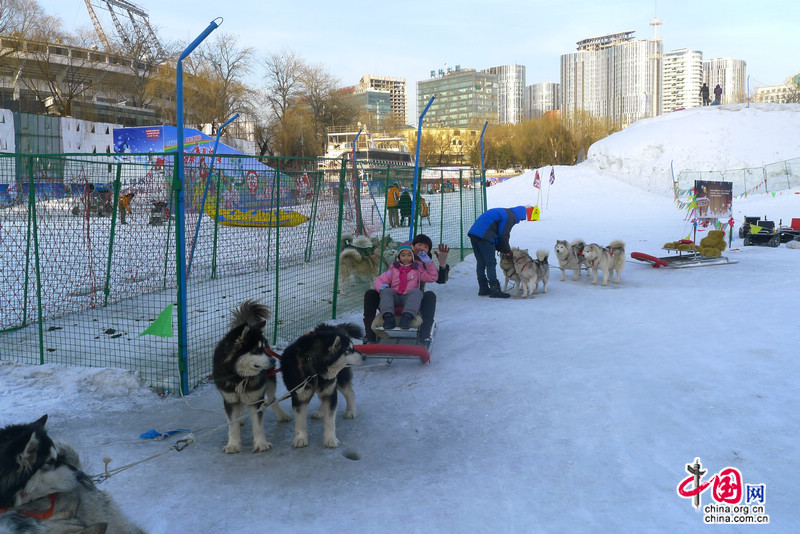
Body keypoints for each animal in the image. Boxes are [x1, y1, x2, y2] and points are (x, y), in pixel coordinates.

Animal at [212, 300, 290, 454]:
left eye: (264, 348)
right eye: (255, 350)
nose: (273, 361)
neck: (239, 376)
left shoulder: (255, 398)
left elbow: (258, 425)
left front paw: (261, 444)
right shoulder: (230, 399)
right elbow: (233, 425)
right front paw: (233, 444)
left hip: (270, 382)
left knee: (272, 399)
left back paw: (281, 414)